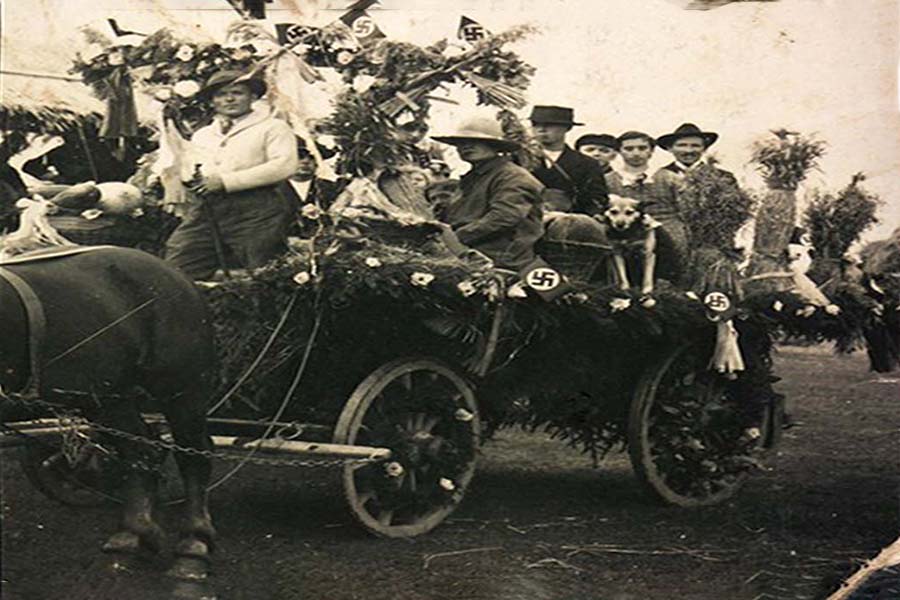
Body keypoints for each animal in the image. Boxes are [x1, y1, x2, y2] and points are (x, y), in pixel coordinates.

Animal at [0, 245, 217, 576]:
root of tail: (176, 273)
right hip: (109, 398)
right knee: (141, 450)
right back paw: (134, 533)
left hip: (183, 387)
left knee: (193, 454)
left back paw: (194, 541)